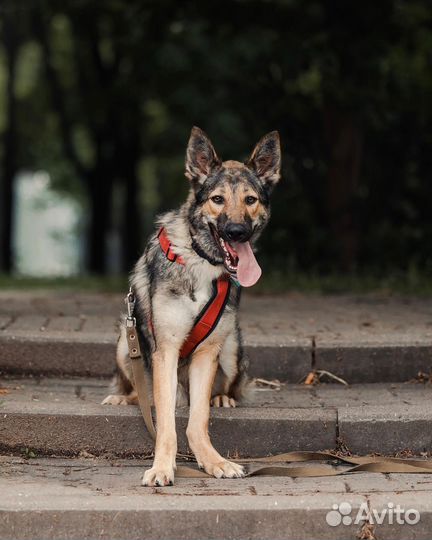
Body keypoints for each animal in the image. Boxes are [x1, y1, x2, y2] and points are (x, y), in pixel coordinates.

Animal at [103, 125, 282, 486]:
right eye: (217, 199)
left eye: (250, 200)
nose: (237, 232)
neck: (202, 262)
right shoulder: (165, 352)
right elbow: (165, 423)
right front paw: (162, 467)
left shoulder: (207, 354)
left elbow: (198, 418)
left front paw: (213, 461)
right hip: (125, 343)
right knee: (139, 392)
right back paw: (121, 397)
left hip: (231, 349)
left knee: (229, 386)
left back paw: (224, 397)